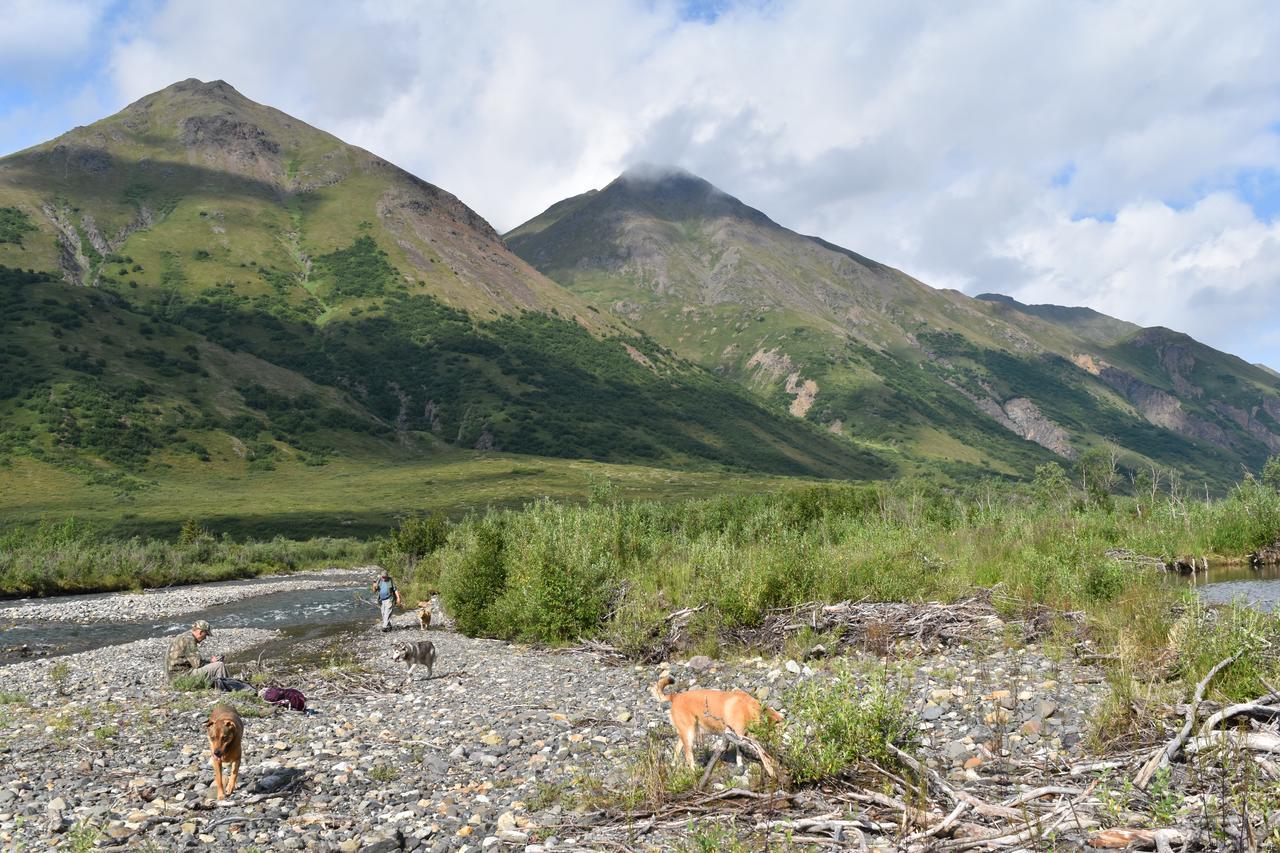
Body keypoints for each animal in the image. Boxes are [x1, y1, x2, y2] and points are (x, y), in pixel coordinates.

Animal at [650, 676, 778, 768]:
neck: (748, 708)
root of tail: (675, 697)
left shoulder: (738, 736)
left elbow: (739, 751)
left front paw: (740, 764)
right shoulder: (738, 734)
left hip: (687, 733)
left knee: (677, 750)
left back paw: (673, 767)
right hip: (689, 733)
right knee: (688, 755)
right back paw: (694, 772)